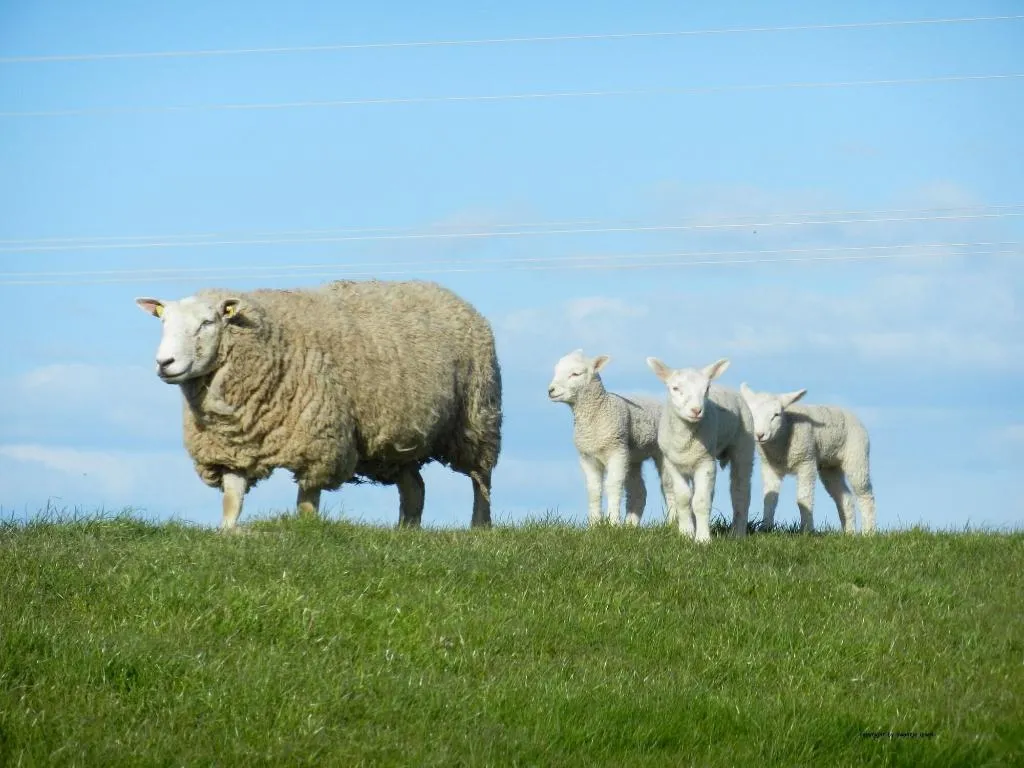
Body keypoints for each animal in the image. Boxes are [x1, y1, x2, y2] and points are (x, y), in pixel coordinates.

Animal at [136, 280, 503, 532]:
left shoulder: (317, 441)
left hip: (477, 417)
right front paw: (228, 531)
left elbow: (307, 500)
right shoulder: (231, 446)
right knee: (414, 487)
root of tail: (449, 294)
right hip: (398, 439)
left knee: (481, 478)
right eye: (164, 323)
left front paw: (306, 531)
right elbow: (232, 496)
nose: (164, 363)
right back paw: (406, 531)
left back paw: (480, 526)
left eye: (207, 323)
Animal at [548, 350, 675, 528]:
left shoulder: (616, 450)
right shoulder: (587, 456)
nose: (550, 390)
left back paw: (672, 524)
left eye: (575, 374)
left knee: (668, 486)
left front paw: (613, 523)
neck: (598, 412)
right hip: (633, 458)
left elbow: (612, 485)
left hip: (662, 453)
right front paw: (594, 524)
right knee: (639, 491)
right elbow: (594, 489)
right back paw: (631, 525)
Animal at [643, 358, 757, 544]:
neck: (686, 440)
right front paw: (686, 534)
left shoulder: (706, 462)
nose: (696, 410)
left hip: (744, 445)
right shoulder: (673, 464)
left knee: (740, 491)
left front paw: (702, 539)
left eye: (706, 389)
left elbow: (701, 501)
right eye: (675, 388)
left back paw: (738, 534)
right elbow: (683, 499)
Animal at [741, 382, 876, 536]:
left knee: (865, 495)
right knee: (845, 497)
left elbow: (804, 499)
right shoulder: (770, 466)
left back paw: (869, 532)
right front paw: (766, 529)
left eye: (776, 415)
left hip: (857, 455)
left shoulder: (806, 461)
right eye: (752, 414)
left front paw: (807, 530)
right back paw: (849, 533)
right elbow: (770, 499)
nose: (759, 435)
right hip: (830, 467)